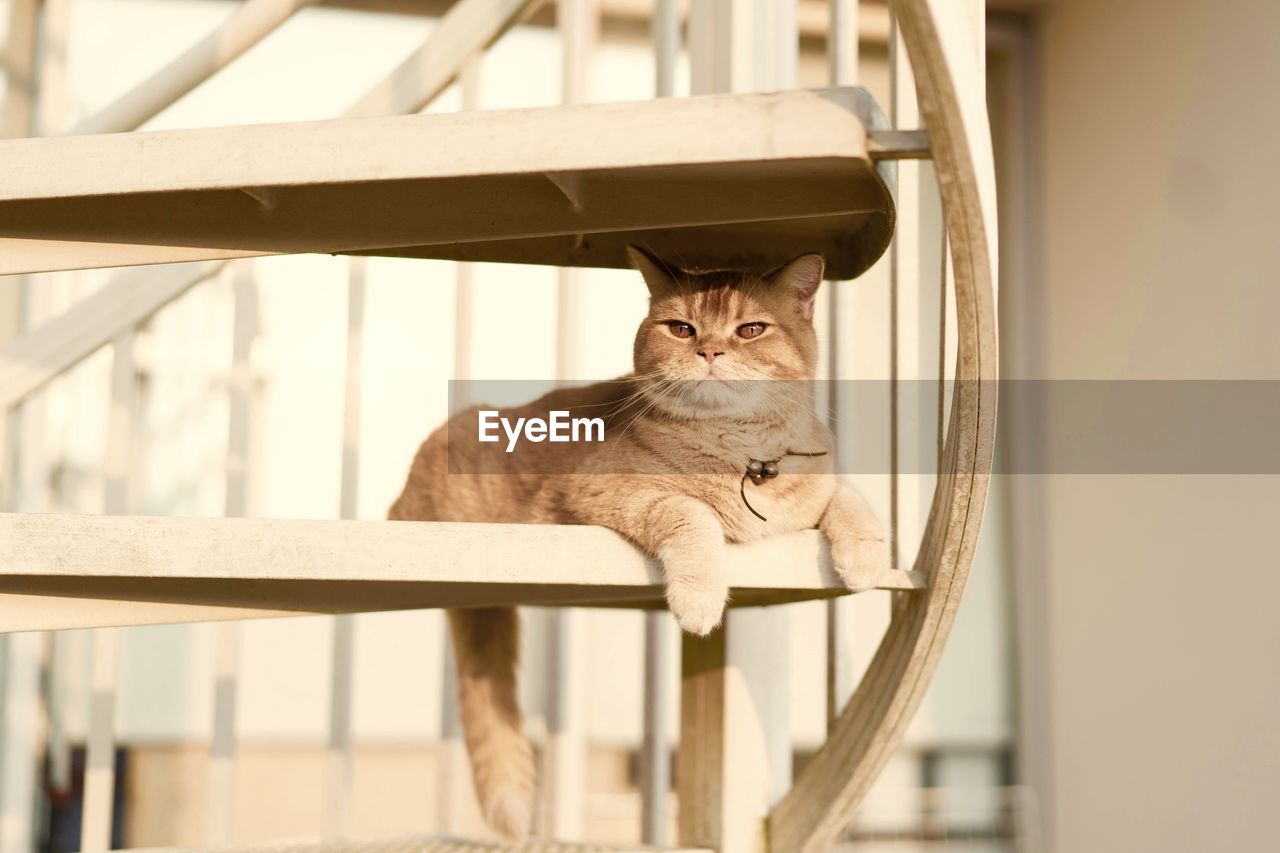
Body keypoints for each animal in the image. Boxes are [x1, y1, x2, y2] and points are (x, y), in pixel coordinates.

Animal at [389, 245, 890, 835]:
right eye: (681, 328)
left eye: (750, 329)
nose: (709, 350)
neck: (741, 454)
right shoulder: (607, 491)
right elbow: (691, 512)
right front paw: (699, 598)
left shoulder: (812, 491)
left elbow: (847, 497)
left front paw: (866, 557)